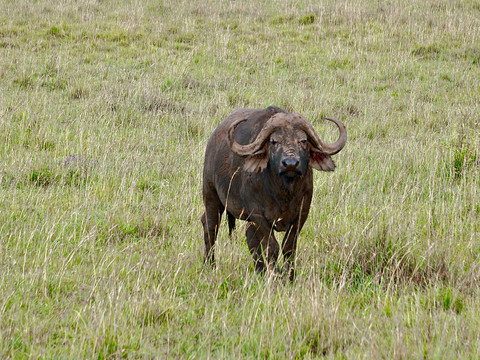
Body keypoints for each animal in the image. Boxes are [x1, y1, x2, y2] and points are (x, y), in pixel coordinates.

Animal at [201, 105, 346, 280]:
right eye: (274, 141)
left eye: (303, 140)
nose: (290, 163)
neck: (283, 193)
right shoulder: (258, 215)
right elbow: (272, 246)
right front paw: (277, 275)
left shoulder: (302, 214)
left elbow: (288, 246)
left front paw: (290, 276)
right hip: (211, 195)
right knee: (210, 226)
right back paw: (210, 264)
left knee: (250, 238)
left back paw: (260, 270)